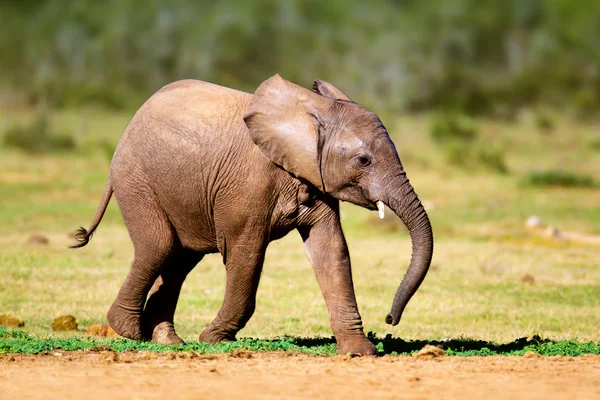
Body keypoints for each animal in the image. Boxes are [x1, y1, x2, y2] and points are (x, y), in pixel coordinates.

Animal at [72, 76, 434, 356]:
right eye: (363, 160)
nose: (390, 319)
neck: (311, 112)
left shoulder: (312, 176)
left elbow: (331, 249)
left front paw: (358, 352)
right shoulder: (248, 185)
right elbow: (245, 253)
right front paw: (214, 339)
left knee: (179, 259)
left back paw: (168, 341)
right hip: (136, 179)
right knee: (158, 246)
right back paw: (128, 331)